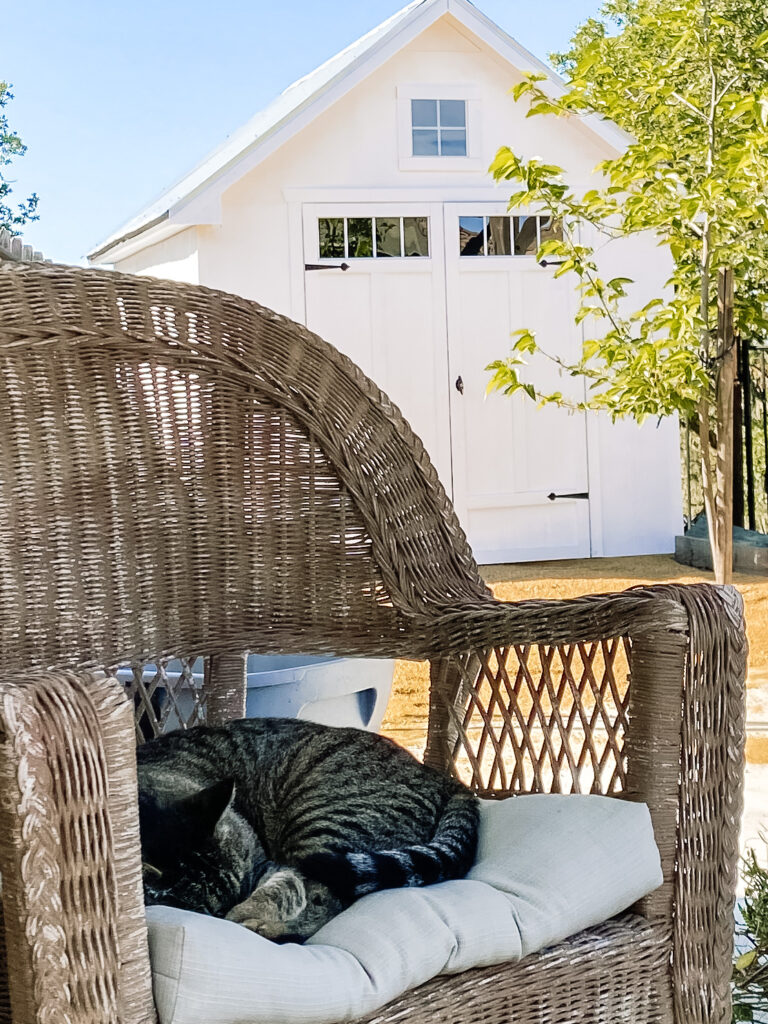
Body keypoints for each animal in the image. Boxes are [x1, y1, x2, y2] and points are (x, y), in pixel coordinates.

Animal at [135, 712, 479, 942]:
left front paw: (252, 913)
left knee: (325, 894)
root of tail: (444, 779)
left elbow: (286, 886)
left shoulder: (266, 864)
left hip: (324, 823)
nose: (231, 911)